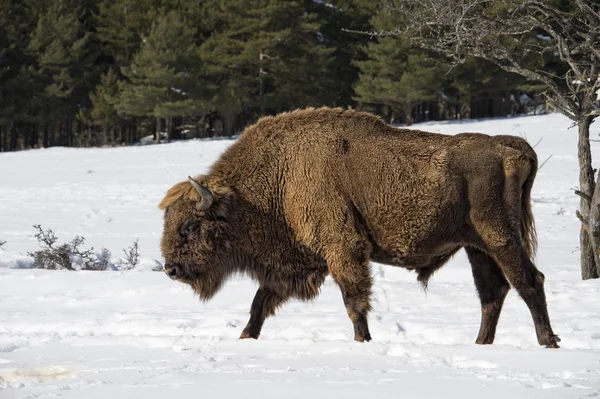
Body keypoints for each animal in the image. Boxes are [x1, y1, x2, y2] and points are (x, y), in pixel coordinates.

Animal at [158, 108, 556, 348]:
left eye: (190, 226)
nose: (171, 269)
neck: (278, 177)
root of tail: (510, 148)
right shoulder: (290, 268)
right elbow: (259, 303)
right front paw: (245, 338)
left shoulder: (344, 251)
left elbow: (354, 301)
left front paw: (362, 341)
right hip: (477, 247)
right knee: (493, 293)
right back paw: (481, 344)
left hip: (500, 237)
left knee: (528, 281)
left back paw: (548, 341)